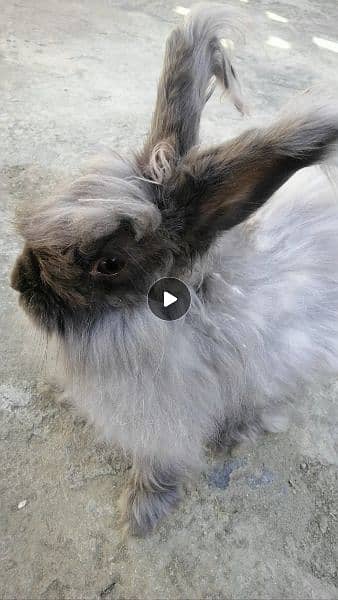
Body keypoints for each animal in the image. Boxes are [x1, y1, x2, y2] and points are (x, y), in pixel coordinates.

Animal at [10, 3, 338, 540]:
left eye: (109, 264)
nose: (19, 284)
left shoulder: (167, 423)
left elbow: (160, 463)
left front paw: (141, 513)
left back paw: (236, 431)